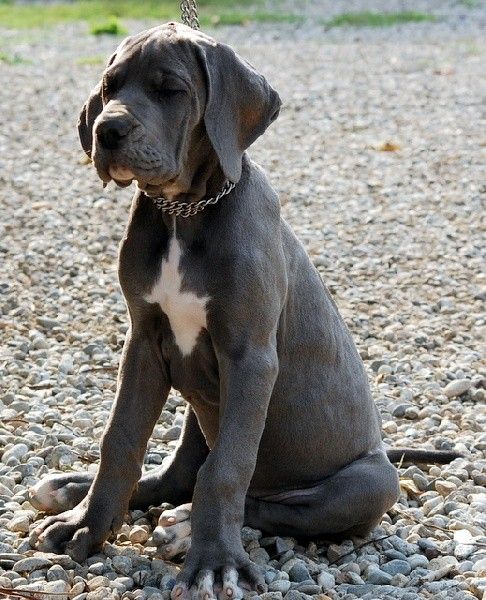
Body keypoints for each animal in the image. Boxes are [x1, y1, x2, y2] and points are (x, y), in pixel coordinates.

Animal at [30, 23, 459, 600]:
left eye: (171, 89)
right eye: (109, 85)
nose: (107, 129)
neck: (183, 213)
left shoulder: (249, 357)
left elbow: (227, 469)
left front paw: (214, 562)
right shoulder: (142, 343)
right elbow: (119, 440)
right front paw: (85, 525)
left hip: (370, 481)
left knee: (263, 503)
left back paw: (183, 527)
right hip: (196, 414)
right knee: (175, 477)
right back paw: (70, 488)